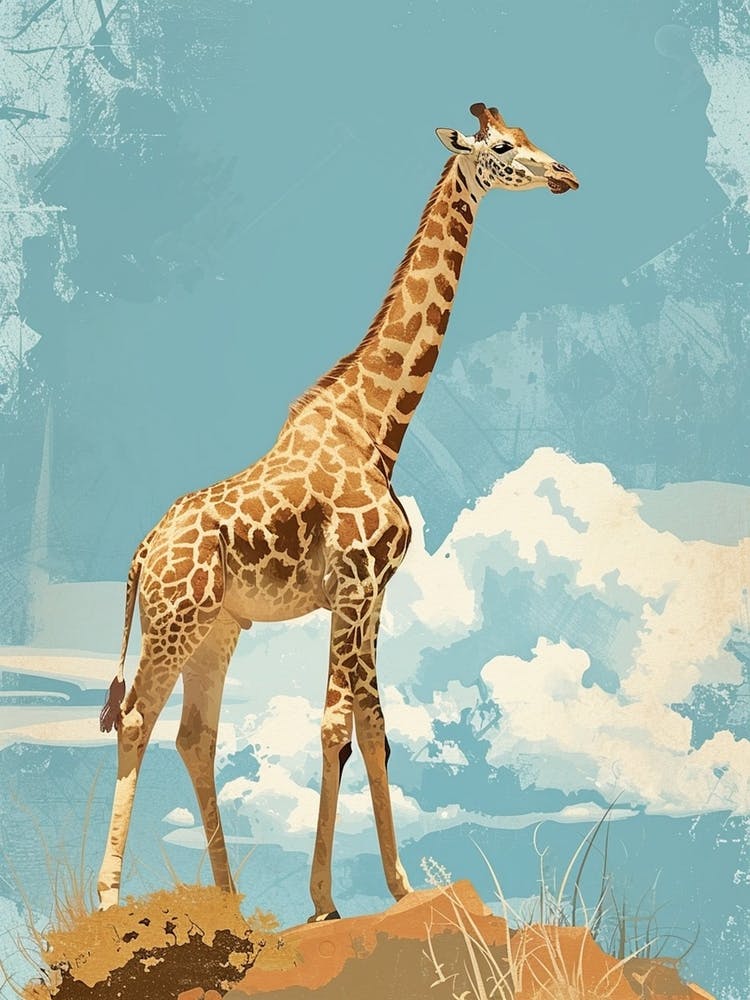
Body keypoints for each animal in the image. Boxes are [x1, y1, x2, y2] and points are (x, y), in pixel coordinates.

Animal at [98, 102, 579, 919]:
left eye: (527, 136)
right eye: (502, 147)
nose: (565, 175)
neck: (377, 425)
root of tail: (142, 552)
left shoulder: (373, 593)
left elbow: (375, 727)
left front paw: (401, 884)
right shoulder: (352, 586)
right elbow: (335, 729)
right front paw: (325, 900)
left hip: (219, 627)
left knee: (195, 735)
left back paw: (230, 901)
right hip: (175, 619)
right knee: (136, 719)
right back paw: (107, 897)